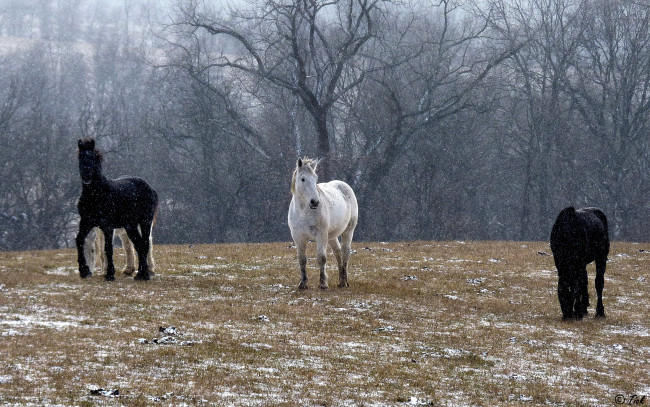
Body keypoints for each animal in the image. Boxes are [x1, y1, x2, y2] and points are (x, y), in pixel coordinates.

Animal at [75, 139, 157, 282]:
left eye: (92, 157)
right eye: (80, 157)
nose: (86, 177)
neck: (96, 195)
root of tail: (150, 188)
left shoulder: (107, 226)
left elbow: (108, 248)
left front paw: (109, 274)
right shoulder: (86, 222)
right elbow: (79, 240)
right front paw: (84, 271)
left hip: (145, 222)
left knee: (146, 244)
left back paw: (146, 274)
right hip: (130, 226)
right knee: (139, 245)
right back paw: (140, 274)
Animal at [288, 159, 356, 290]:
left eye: (315, 178)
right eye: (303, 179)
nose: (315, 202)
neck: (303, 211)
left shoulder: (321, 235)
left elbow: (321, 258)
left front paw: (323, 283)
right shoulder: (298, 237)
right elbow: (302, 259)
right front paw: (303, 283)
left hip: (348, 230)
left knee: (345, 252)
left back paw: (344, 282)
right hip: (332, 236)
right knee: (337, 252)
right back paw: (340, 280)